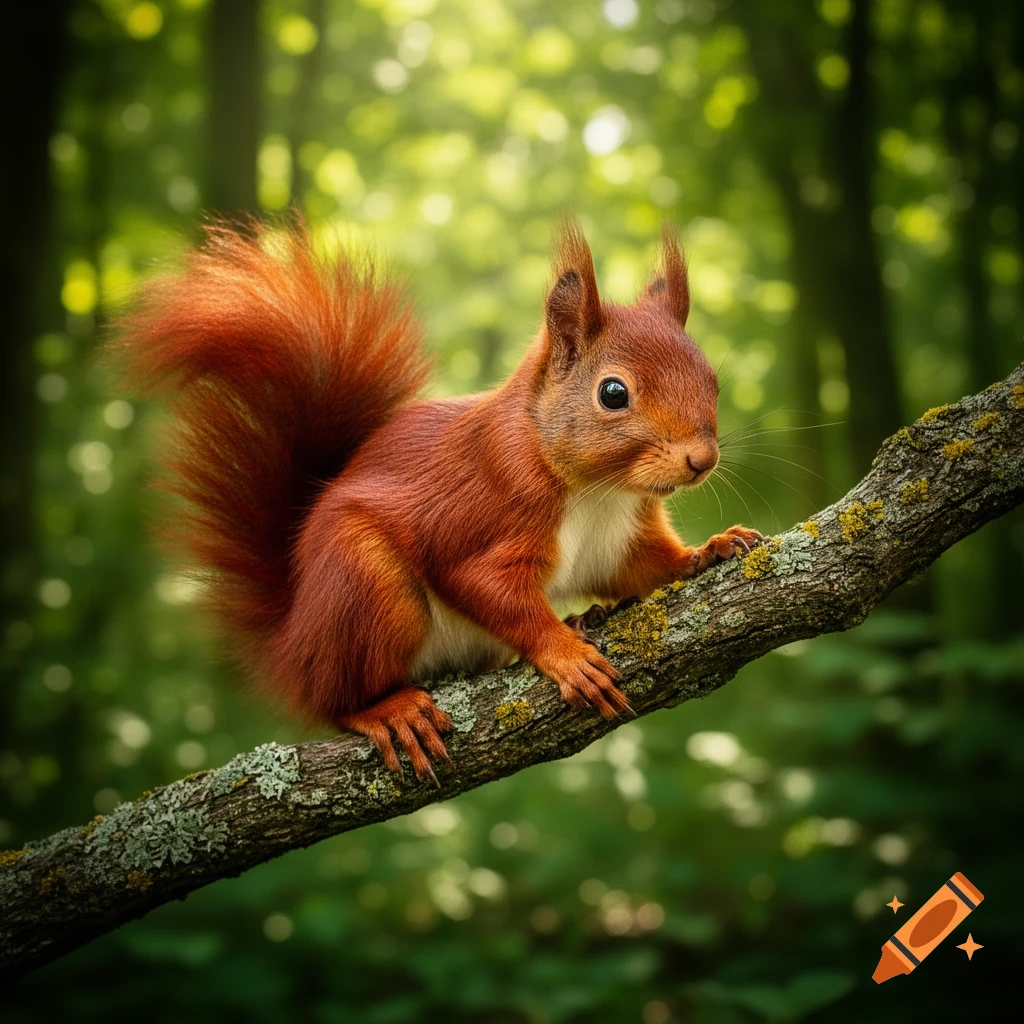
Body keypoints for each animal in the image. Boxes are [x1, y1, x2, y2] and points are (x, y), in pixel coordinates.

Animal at [111, 217, 762, 784]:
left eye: (712, 379)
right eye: (613, 393)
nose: (702, 460)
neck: (599, 492)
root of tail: (291, 646)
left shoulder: (620, 539)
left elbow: (646, 568)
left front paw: (710, 549)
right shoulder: (484, 516)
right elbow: (490, 590)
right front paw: (563, 651)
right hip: (365, 585)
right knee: (337, 699)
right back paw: (388, 710)